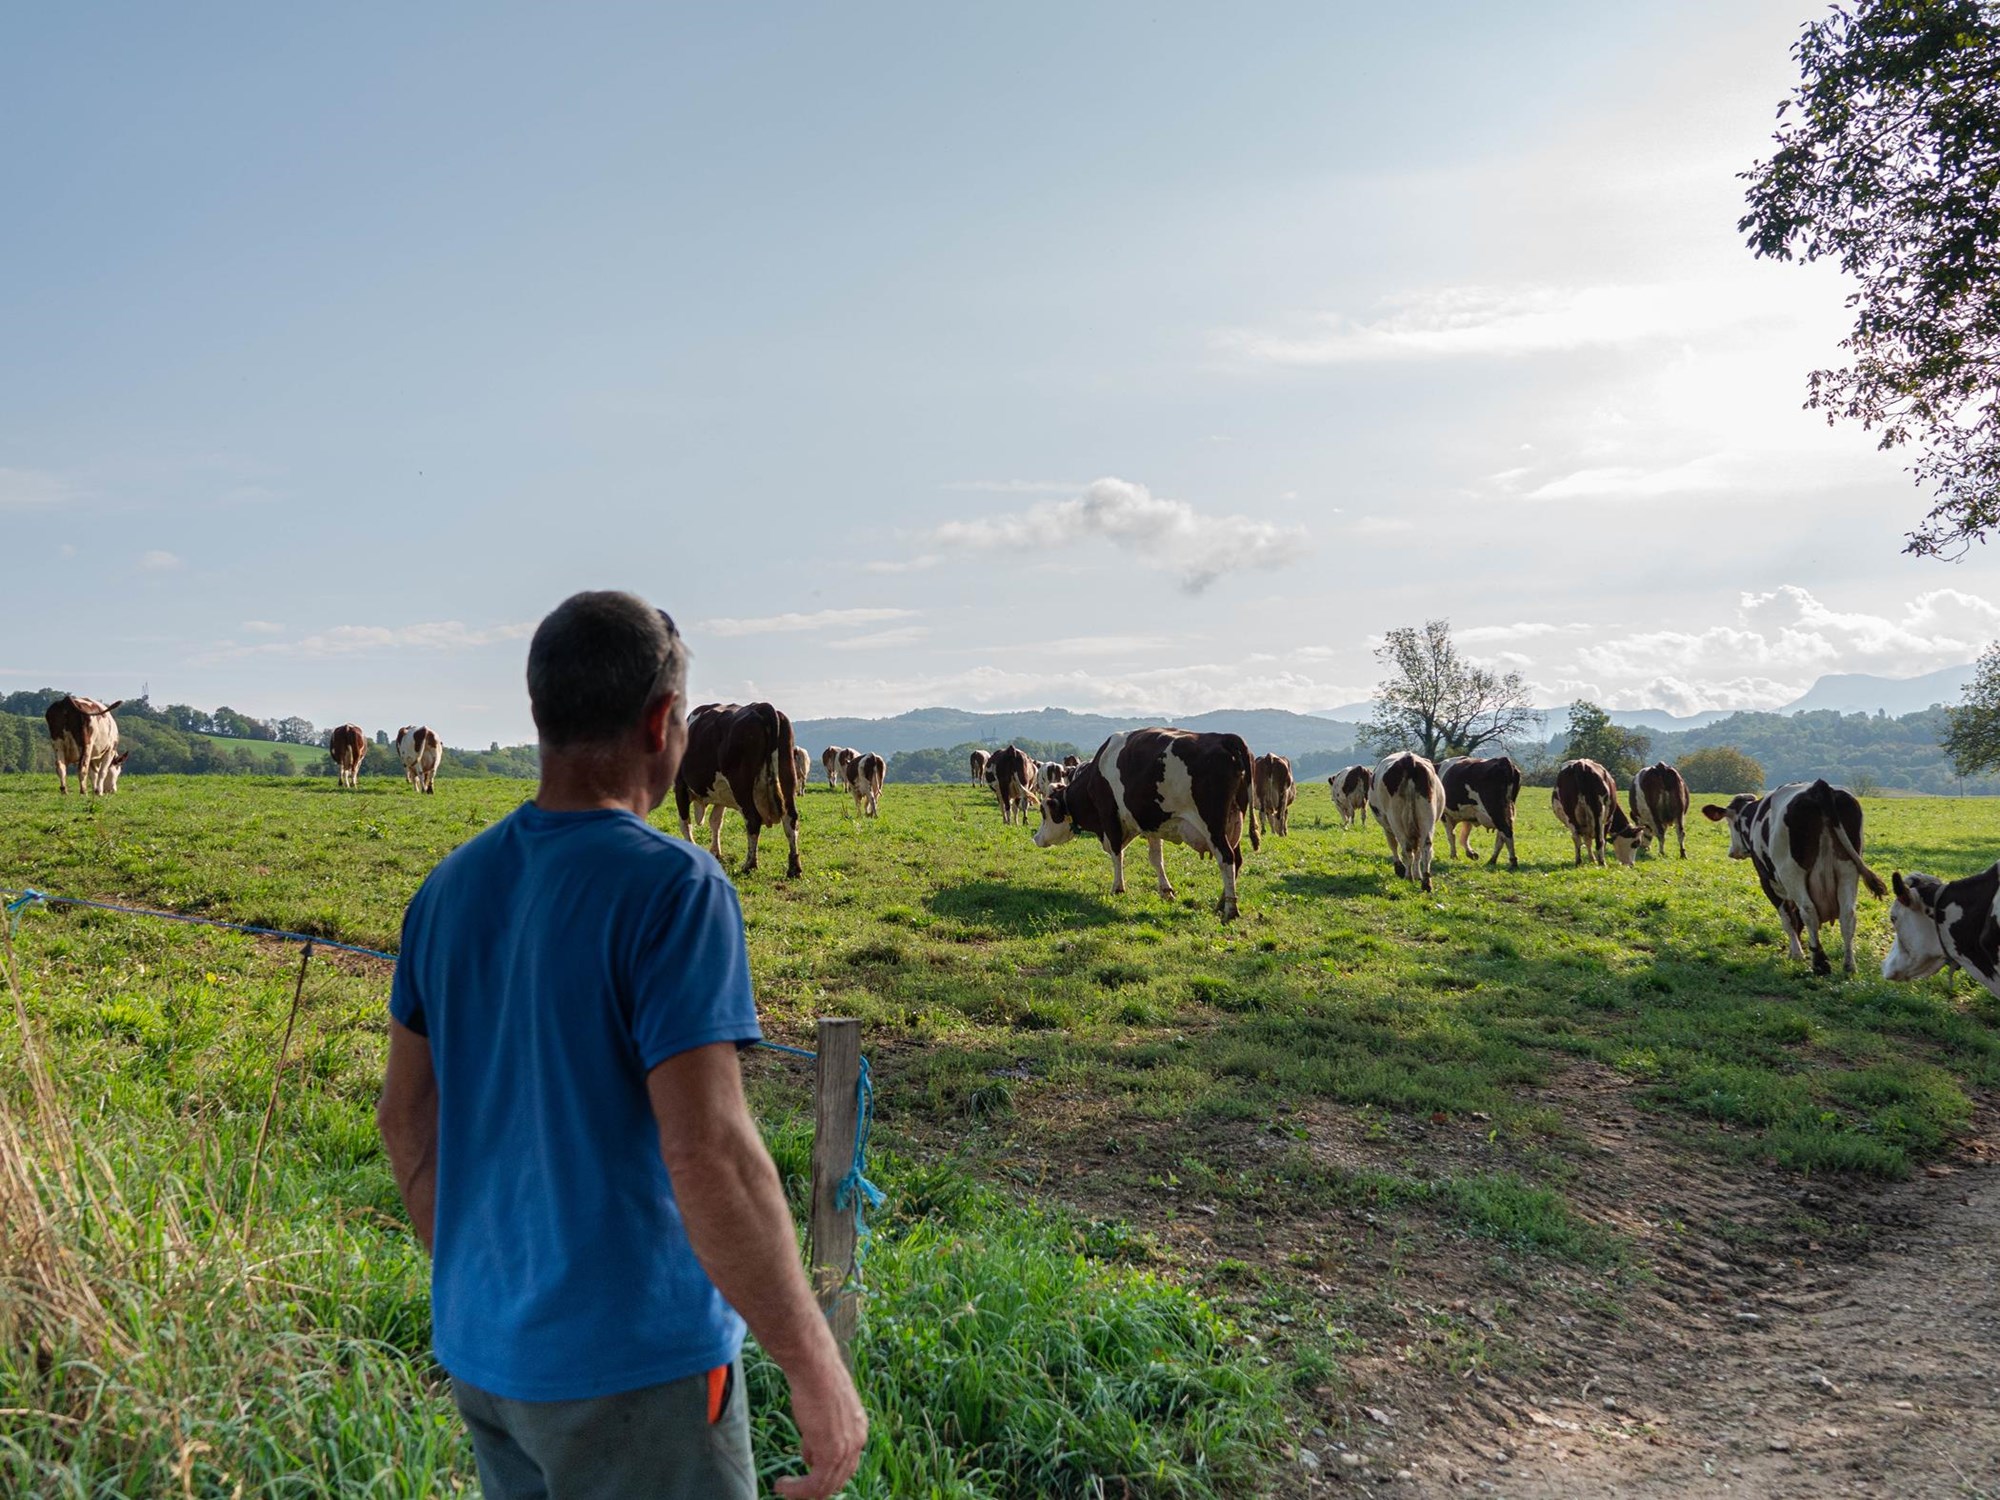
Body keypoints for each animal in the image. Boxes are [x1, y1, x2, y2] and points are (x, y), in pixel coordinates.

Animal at [680, 704, 804, 880]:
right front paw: (716, 852)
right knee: (790, 819)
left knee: (753, 820)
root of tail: (762, 706)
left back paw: (749, 865)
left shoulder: (680, 787)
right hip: (787, 775)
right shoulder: (721, 795)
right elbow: (715, 822)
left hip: (741, 785)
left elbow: (685, 824)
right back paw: (794, 868)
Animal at [1040, 728, 1256, 916]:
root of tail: (1224, 738)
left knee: (1226, 858)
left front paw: (1118, 888)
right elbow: (1155, 858)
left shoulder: (1109, 815)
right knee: (1237, 860)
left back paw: (1230, 910)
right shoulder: (1151, 824)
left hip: (1213, 826)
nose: (1036, 838)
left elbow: (1117, 854)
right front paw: (1166, 891)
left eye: (1043, 813)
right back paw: (1221, 904)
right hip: (1233, 823)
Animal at [1368, 752, 1448, 892]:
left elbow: (1392, 844)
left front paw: (1400, 869)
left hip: (1395, 819)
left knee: (1406, 848)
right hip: (1427, 818)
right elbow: (1418, 853)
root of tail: (1409, 759)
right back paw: (1426, 882)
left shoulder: (1387, 826)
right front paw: (1418, 875)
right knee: (1426, 849)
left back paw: (1408, 877)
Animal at [1712, 780, 1880, 980]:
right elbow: (1796, 919)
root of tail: (1818, 787)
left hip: (1793, 872)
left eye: (1730, 822)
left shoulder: (1768, 881)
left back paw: (1820, 964)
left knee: (1809, 911)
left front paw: (1796, 953)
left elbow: (1788, 918)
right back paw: (1849, 965)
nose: (1732, 852)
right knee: (1847, 915)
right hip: (1848, 870)